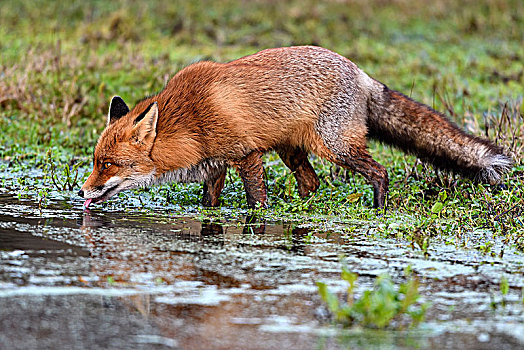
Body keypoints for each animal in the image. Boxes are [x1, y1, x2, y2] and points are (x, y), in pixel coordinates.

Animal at [78, 45, 512, 209]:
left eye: (108, 165)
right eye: (96, 161)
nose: (81, 191)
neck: (190, 120)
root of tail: (360, 72)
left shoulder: (246, 154)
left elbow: (256, 202)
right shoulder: (215, 165)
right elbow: (210, 203)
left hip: (336, 147)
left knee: (379, 172)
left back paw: (378, 209)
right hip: (292, 150)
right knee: (312, 182)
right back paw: (302, 210)